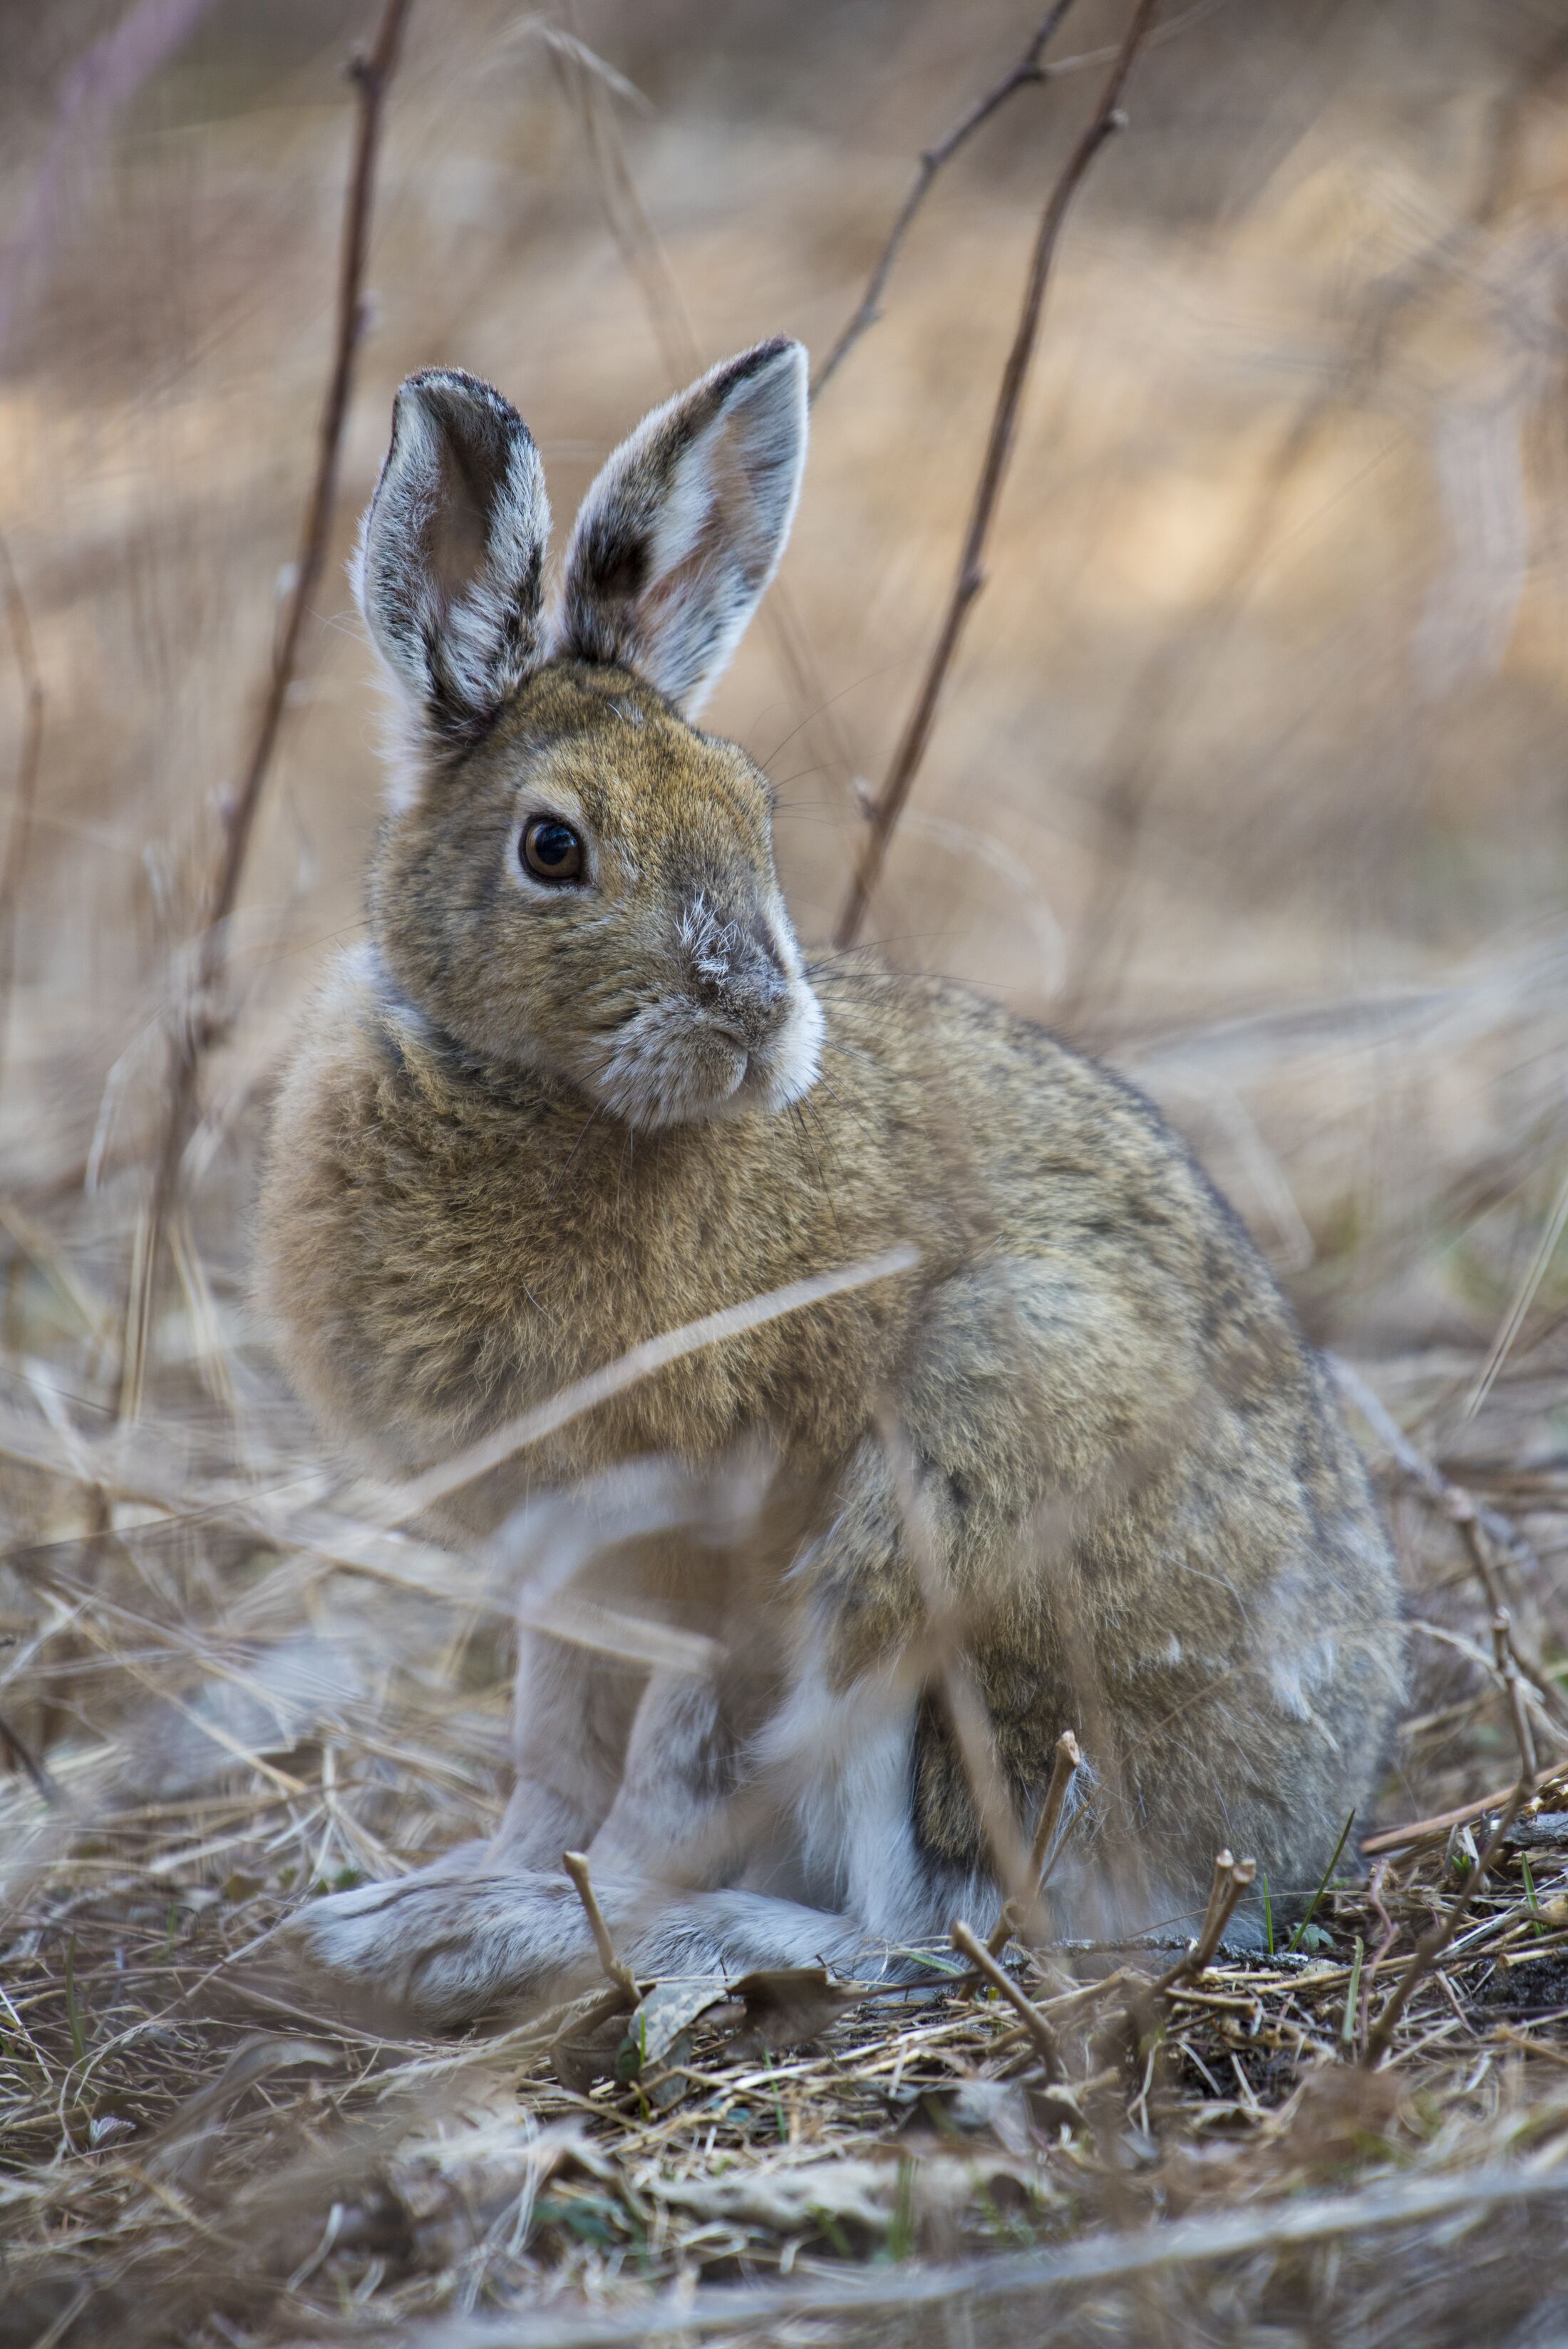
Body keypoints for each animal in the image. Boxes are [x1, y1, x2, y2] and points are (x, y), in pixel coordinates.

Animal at [257, 337, 1406, 2027]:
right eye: (553, 849)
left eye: (755, 820)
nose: (754, 1011)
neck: (531, 1096)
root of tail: (1285, 1836)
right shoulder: (563, 1570)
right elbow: (552, 1755)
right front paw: (475, 1876)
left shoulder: (720, 1545)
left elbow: (659, 1782)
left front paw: (519, 1914)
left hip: (959, 1500)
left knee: (929, 1930)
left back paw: (589, 1944)